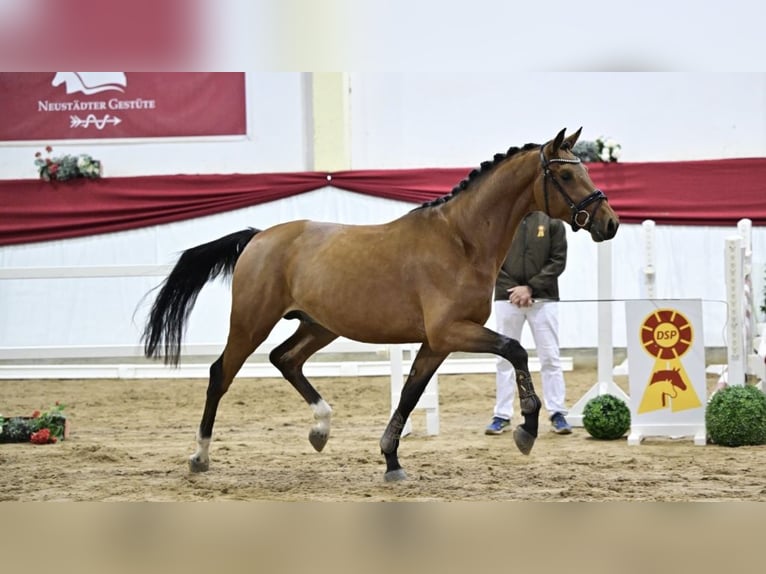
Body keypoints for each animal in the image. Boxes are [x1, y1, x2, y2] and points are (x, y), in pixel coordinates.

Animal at [141, 128, 620, 484]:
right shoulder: (452, 331)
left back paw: (320, 428)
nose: (610, 223)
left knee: (285, 358)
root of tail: (259, 237)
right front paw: (526, 430)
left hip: (319, 325)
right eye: (567, 176)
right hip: (251, 322)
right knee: (220, 374)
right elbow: (516, 350)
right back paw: (200, 457)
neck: (462, 241)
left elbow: (410, 393)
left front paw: (391, 461)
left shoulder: (437, 343)